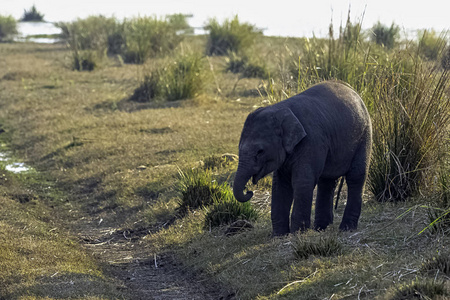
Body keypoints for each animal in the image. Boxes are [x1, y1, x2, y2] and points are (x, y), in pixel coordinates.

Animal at [234, 81, 370, 236]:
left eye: (260, 151)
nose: (249, 191)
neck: (281, 110)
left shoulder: (311, 141)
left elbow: (302, 181)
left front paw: (297, 234)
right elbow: (280, 184)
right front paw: (279, 236)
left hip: (364, 136)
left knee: (356, 177)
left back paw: (346, 228)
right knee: (327, 181)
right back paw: (320, 229)